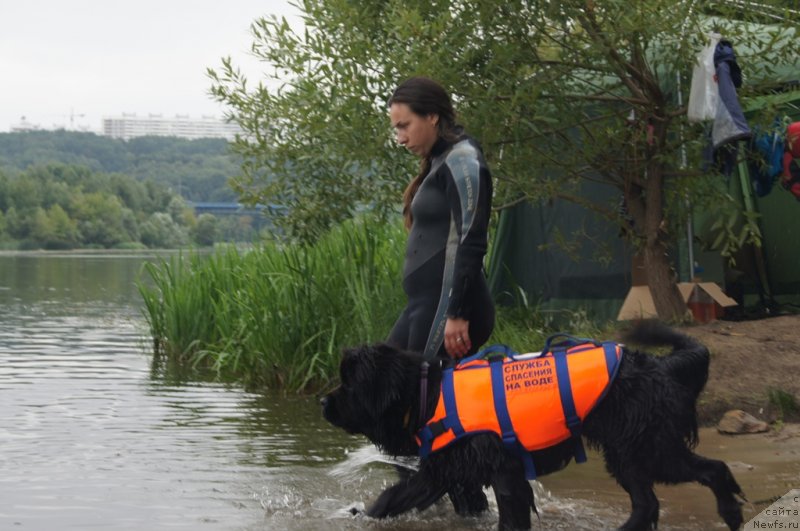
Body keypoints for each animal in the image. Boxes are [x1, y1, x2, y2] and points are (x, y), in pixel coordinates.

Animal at [322, 320, 748, 531]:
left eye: (349, 383)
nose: (323, 401)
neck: (427, 395)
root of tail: (661, 365)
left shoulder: (498, 469)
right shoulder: (453, 470)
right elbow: (401, 497)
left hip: (647, 449)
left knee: (708, 471)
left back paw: (729, 511)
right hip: (632, 453)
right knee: (654, 500)